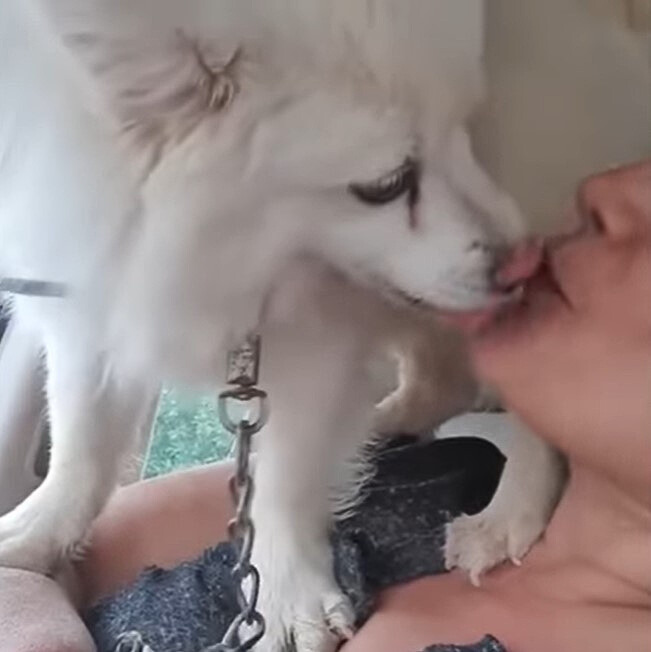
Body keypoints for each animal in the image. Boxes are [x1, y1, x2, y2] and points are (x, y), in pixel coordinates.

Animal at [0, 2, 564, 648]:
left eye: (464, 125)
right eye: (386, 185)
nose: (525, 261)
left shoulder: (315, 338)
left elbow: (286, 474)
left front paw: (289, 597)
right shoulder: (88, 299)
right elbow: (82, 447)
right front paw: (32, 535)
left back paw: (507, 514)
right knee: (443, 375)